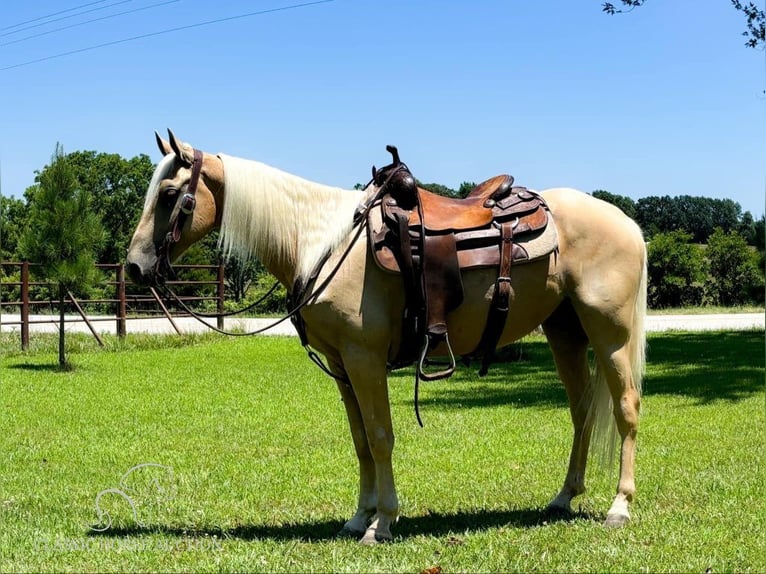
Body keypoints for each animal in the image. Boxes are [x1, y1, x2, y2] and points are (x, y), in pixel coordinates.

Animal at [126, 133, 648, 548]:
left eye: (170, 194)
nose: (133, 267)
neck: (323, 243)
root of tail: (627, 222)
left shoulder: (365, 359)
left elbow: (380, 437)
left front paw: (384, 523)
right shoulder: (341, 366)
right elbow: (360, 441)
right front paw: (360, 517)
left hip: (610, 333)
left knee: (625, 408)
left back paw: (619, 507)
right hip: (565, 331)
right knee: (582, 411)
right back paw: (563, 497)